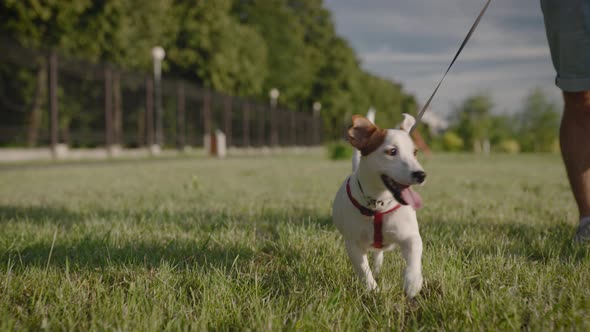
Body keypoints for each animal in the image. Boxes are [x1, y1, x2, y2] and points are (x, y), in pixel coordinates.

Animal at [332, 113, 426, 296]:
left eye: (415, 152)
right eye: (392, 151)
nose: (421, 175)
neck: (378, 204)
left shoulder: (410, 236)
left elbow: (414, 257)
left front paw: (413, 282)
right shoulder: (353, 244)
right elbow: (363, 270)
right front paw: (373, 290)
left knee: (378, 253)